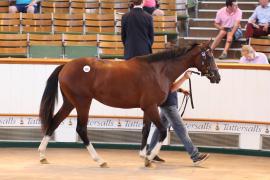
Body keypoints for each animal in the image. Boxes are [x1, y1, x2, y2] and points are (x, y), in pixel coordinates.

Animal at [37, 41, 219, 168]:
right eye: (209, 56)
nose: (217, 77)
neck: (158, 71)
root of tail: (66, 65)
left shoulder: (147, 108)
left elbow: (146, 131)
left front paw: (144, 156)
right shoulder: (151, 107)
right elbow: (161, 132)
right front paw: (149, 158)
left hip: (70, 103)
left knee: (54, 122)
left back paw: (42, 156)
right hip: (83, 102)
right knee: (81, 129)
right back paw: (100, 160)